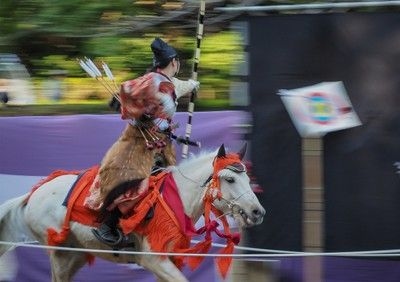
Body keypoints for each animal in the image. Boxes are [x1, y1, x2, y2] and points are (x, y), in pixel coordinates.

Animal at [0, 144, 266, 282]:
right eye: (230, 179)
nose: (257, 212)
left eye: (247, 178)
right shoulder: (153, 259)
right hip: (60, 252)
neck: (176, 197)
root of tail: (33, 194)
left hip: (76, 254)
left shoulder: (168, 260)